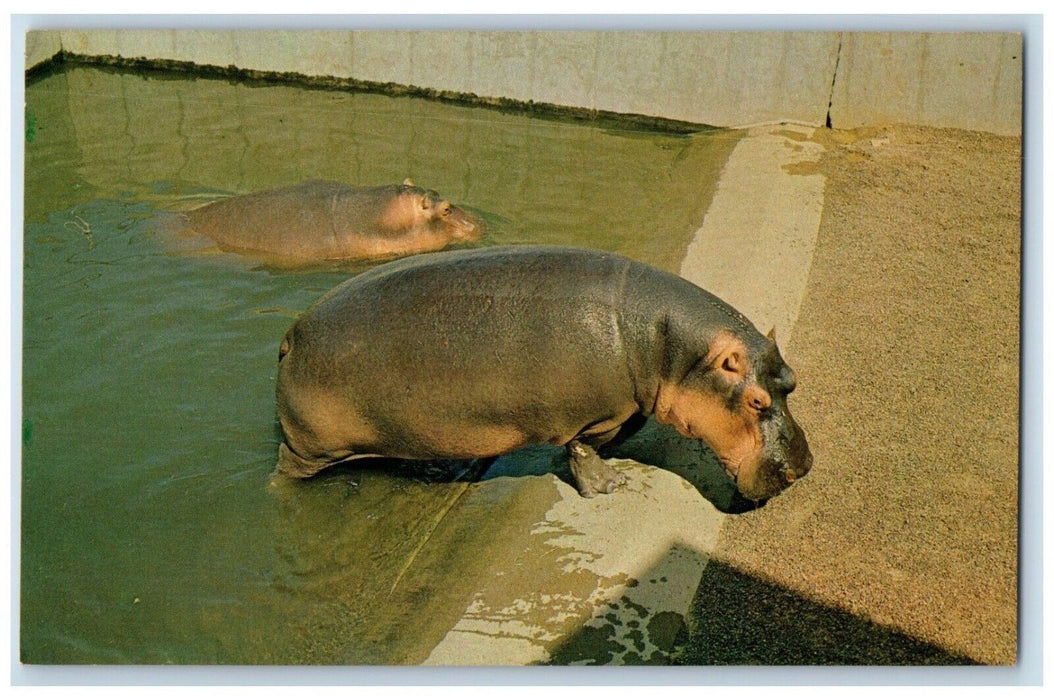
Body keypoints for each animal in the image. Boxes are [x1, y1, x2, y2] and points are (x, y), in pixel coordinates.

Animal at [274, 245, 812, 501]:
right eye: (756, 402)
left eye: (791, 382)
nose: (803, 467)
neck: (664, 345)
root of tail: (292, 333)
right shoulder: (594, 412)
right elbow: (583, 447)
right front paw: (609, 485)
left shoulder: (630, 405)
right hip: (311, 447)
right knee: (286, 469)